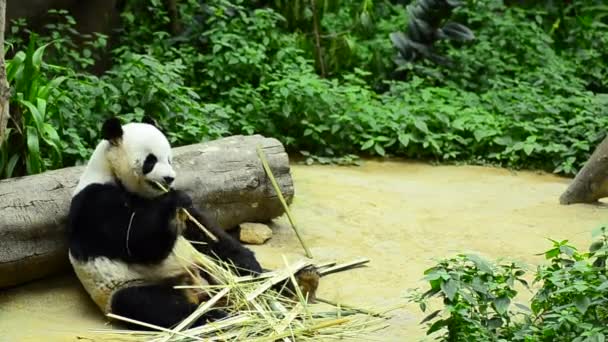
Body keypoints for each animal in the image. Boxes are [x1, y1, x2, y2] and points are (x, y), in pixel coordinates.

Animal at [67, 117, 320, 328]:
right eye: (151, 160)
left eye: (169, 158)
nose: (169, 178)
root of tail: (199, 288)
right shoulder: (95, 202)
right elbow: (136, 245)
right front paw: (174, 200)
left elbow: (205, 231)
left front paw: (249, 262)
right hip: (125, 286)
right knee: (153, 305)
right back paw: (216, 316)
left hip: (210, 266)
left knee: (254, 276)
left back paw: (301, 280)